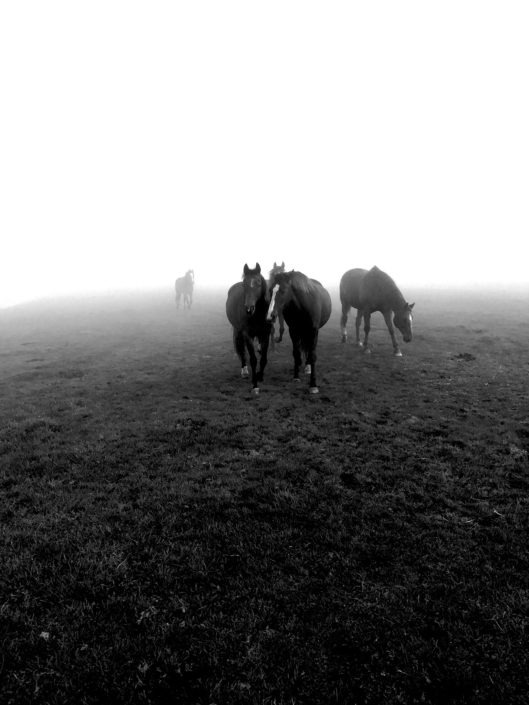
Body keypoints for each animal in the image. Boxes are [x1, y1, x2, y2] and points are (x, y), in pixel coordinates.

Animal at [224, 262, 272, 394]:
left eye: (258, 283)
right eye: (244, 284)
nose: (249, 309)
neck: (258, 314)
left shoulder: (265, 334)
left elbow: (264, 358)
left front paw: (260, 376)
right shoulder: (248, 335)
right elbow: (253, 360)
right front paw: (255, 386)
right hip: (238, 330)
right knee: (240, 348)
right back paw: (244, 370)